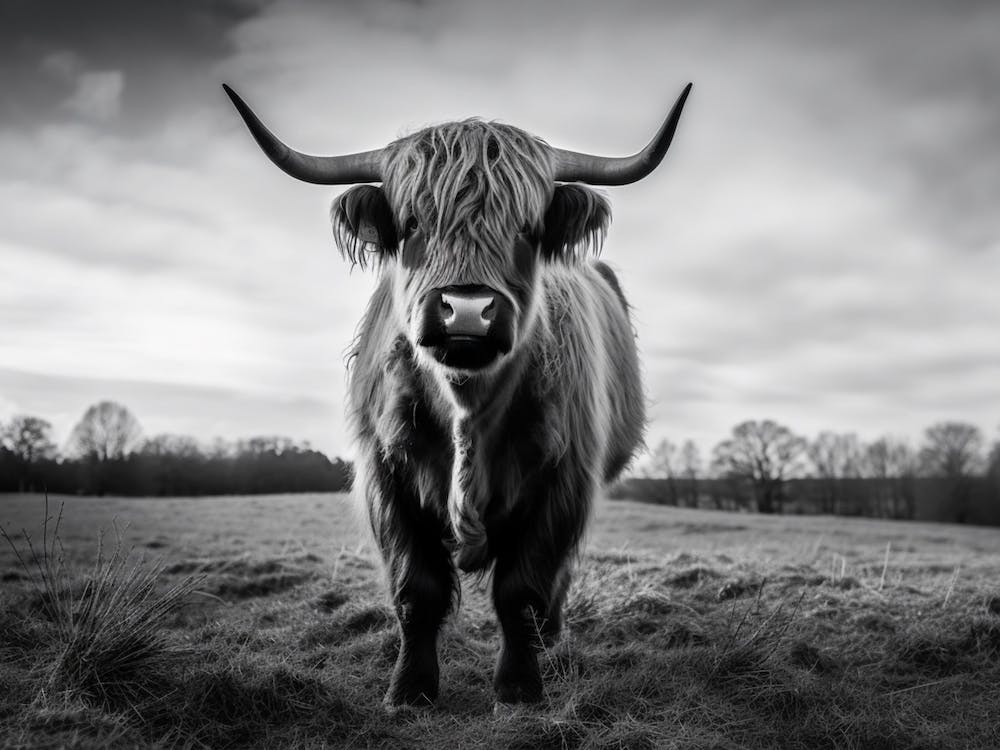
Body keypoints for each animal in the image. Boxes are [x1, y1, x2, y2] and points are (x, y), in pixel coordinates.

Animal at [223, 82, 692, 709]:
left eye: (527, 227)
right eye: (412, 222)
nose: (467, 311)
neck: (467, 409)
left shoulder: (565, 482)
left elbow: (523, 590)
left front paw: (518, 688)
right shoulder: (386, 477)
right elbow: (415, 590)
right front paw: (409, 689)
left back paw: (552, 637)